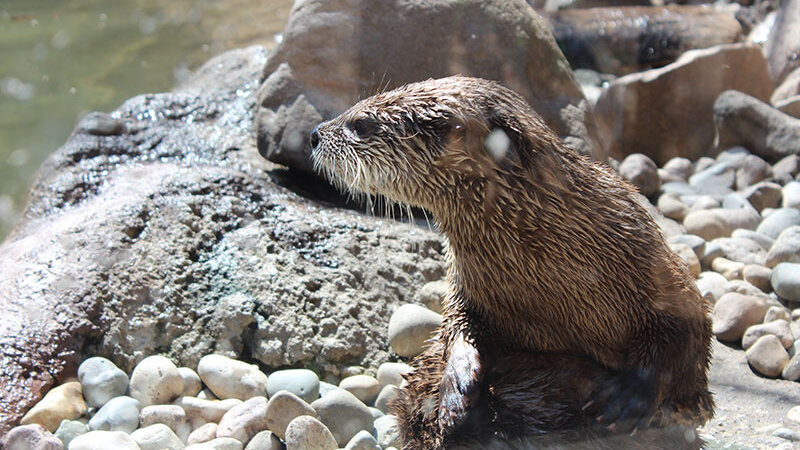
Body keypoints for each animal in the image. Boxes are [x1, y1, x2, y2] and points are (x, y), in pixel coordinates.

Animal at [310, 76, 713, 449]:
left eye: (361, 122)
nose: (315, 133)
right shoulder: (468, 289)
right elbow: (458, 327)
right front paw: (456, 390)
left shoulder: (658, 271)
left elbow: (687, 331)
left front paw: (628, 396)